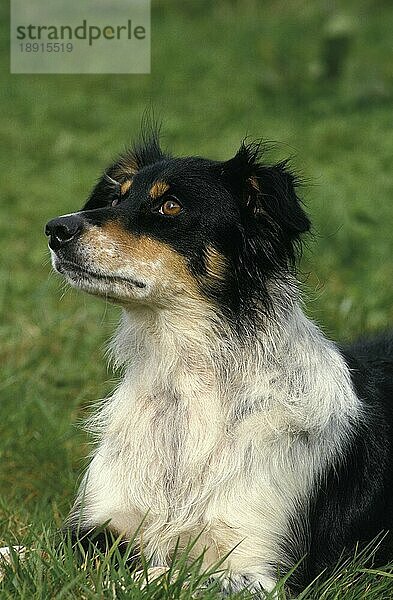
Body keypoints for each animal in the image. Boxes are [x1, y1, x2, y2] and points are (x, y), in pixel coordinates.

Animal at [43, 127, 392, 596]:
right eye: (116, 197)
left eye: (171, 206)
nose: (56, 228)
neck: (187, 383)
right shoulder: (97, 525)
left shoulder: (261, 569)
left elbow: (158, 574)